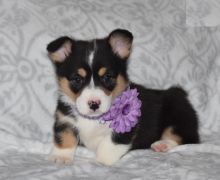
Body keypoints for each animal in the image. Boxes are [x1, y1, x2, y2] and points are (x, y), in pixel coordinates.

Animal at [46, 28, 199, 165]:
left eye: (108, 77)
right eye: (77, 79)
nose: (94, 104)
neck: (94, 119)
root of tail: (179, 93)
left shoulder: (125, 128)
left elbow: (110, 144)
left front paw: (101, 161)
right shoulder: (64, 120)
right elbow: (64, 138)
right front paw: (61, 157)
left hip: (178, 115)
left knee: (184, 137)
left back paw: (162, 144)